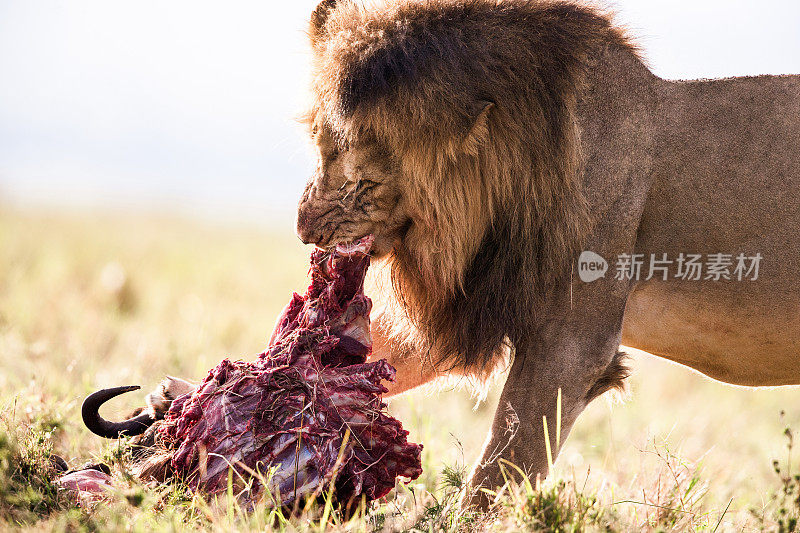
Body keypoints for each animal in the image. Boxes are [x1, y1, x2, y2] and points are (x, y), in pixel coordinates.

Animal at [86, 0, 800, 510]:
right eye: (317, 140)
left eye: (356, 164)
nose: (302, 225)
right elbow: (368, 363)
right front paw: (184, 401)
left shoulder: (573, 342)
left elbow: (496, 470)